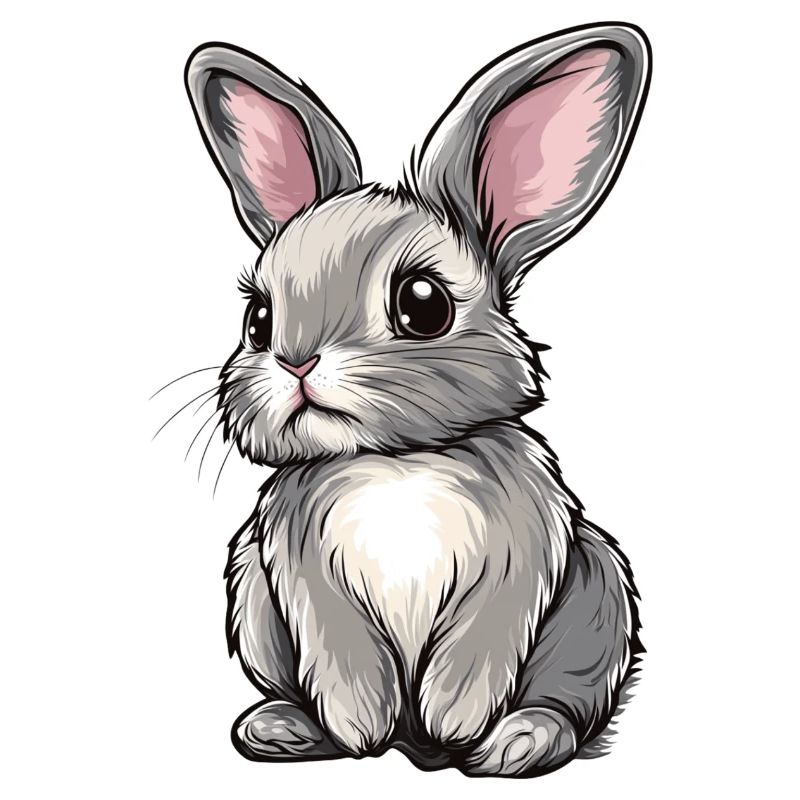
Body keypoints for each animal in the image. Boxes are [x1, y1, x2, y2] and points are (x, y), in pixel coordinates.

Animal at [182, 22, 651, 778]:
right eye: (258, 319)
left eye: (422, 304)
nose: (295, 362)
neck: (393, 462)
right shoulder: (304, 582)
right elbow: (345, 660)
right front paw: (361, 731)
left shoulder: (518, 564)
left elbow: (479, 649)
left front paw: (456, 723)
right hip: (250, 596)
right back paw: (280, 727)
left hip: (599, 600)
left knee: (567, 703)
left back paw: (517, 742)